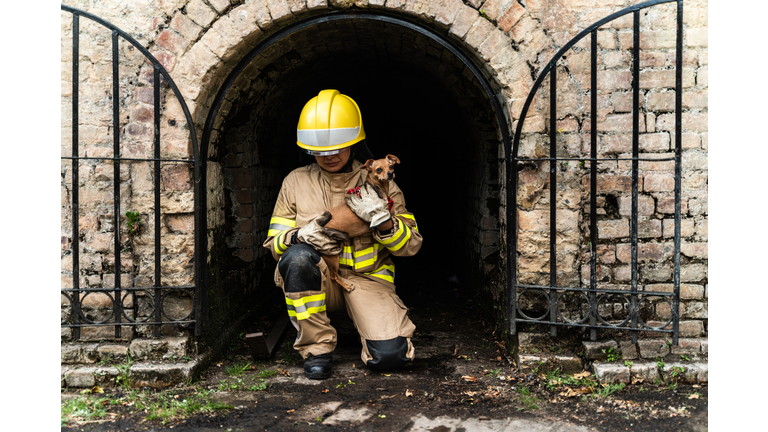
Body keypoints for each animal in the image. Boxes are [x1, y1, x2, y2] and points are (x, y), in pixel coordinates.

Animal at [312, 154, 400, 292]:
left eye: (391, 166)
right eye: (379, 169)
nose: (390, 174)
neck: (378, 188)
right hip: (332, 257)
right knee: (334, 276)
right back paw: (347, 286)